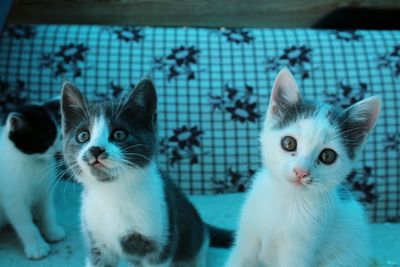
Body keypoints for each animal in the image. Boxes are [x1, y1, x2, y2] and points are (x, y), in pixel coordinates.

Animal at [0, 101, 65, 260]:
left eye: (59, 136)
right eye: (46, 139)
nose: (58, 152)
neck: (33, 162)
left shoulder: (45, 191)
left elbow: (48, 213)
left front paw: (52, 231)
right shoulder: (14, 200)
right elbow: (26, 225)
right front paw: (37, 247)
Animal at [61, 80, 233, 267]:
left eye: (119, 134)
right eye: (83, 136)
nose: (96, 149)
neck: (114, 192)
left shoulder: (161, 240)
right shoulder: (97, 244)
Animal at [225, 69, 382, 267]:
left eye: (328, 156)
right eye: (289, 143)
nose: (301, 172)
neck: (287, 199)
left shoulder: (301, 249)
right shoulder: (247, 239)